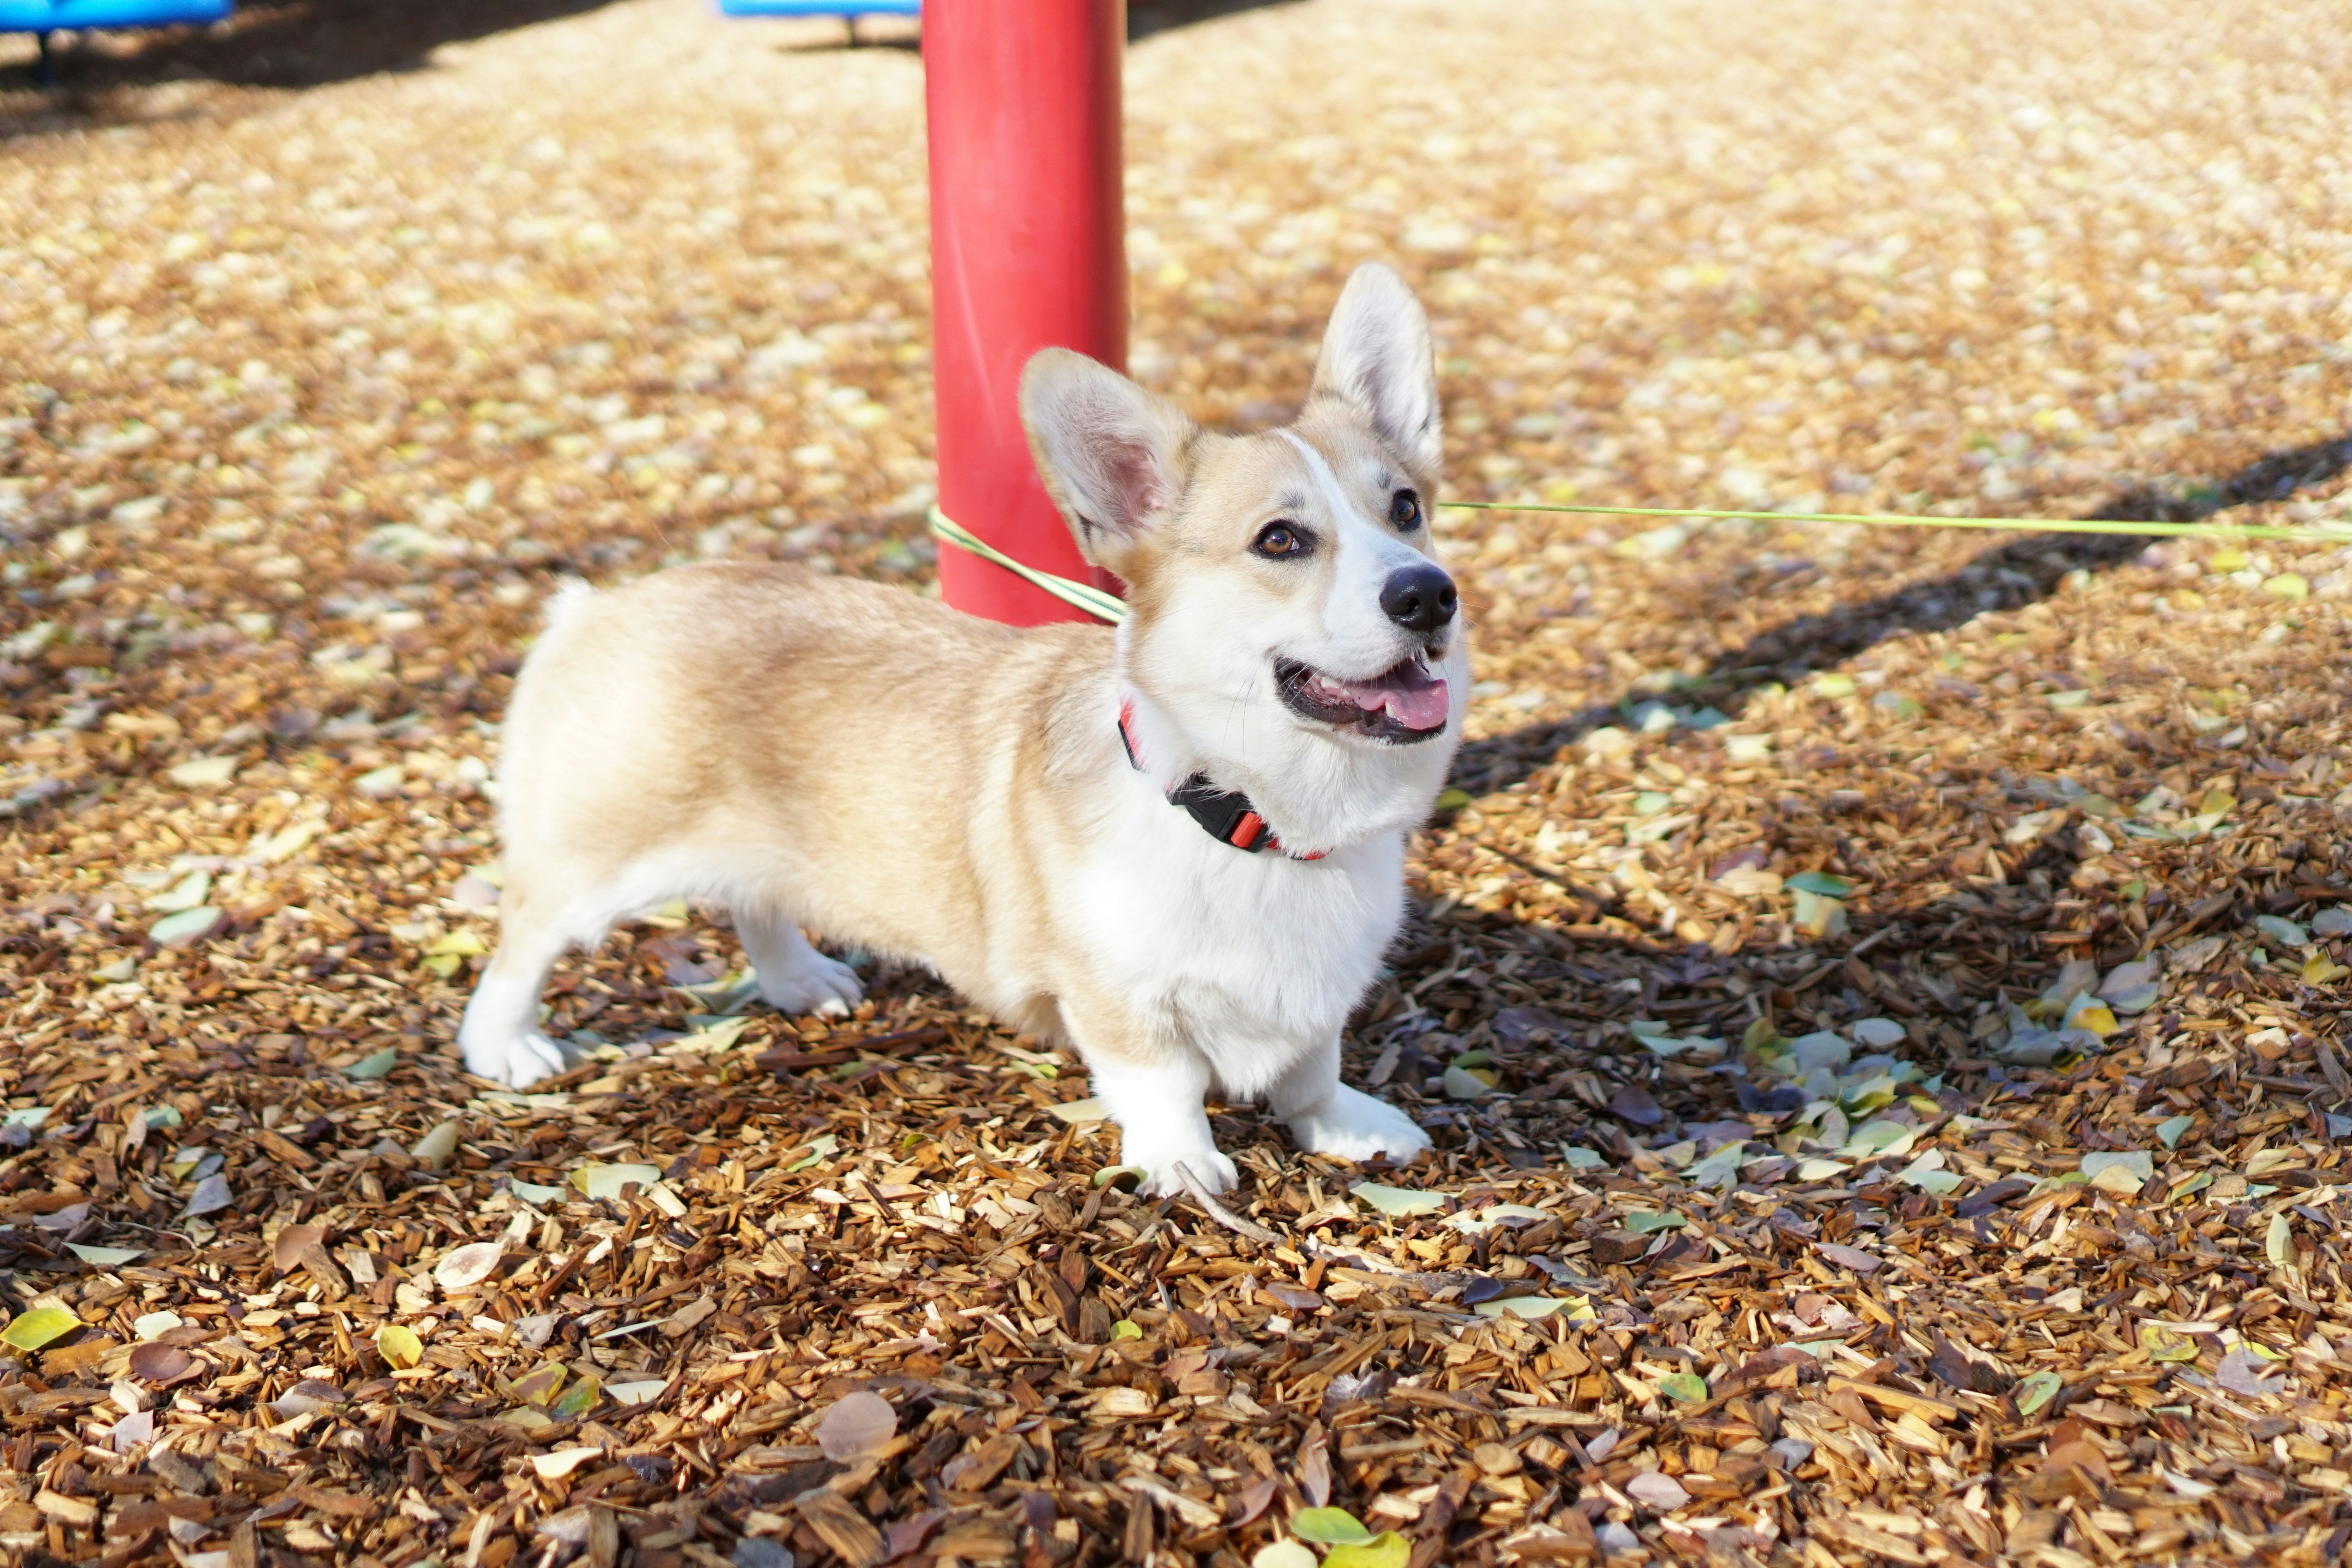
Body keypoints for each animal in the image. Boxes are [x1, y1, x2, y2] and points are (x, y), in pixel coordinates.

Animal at [449, 263, 1458, 1194]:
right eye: (1280, 540)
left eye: (1406, 509)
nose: (1429, 594)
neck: (1252, 817)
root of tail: (596, 606)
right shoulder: (1116, 998)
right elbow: (1163, 1080)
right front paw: (1181, 1164)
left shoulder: (1315, 1005)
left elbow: (1312, 1069)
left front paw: (1345, 1125)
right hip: (600, 859)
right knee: (525, 930)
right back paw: (504, 1045)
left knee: (752, 895)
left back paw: (798, 978)